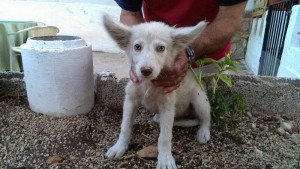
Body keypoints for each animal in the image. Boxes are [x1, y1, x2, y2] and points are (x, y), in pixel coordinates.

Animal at [103, 15, 211, 168]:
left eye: (161, 48)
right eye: (137, 46)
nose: (146, 70)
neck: (148, 83)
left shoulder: (167, 107)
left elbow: (165, 137)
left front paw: (165, 158)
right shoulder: (130, 100)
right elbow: (125, 127)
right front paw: (119, 147)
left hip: (199, 98)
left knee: (205, 118)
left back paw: (203, 132)